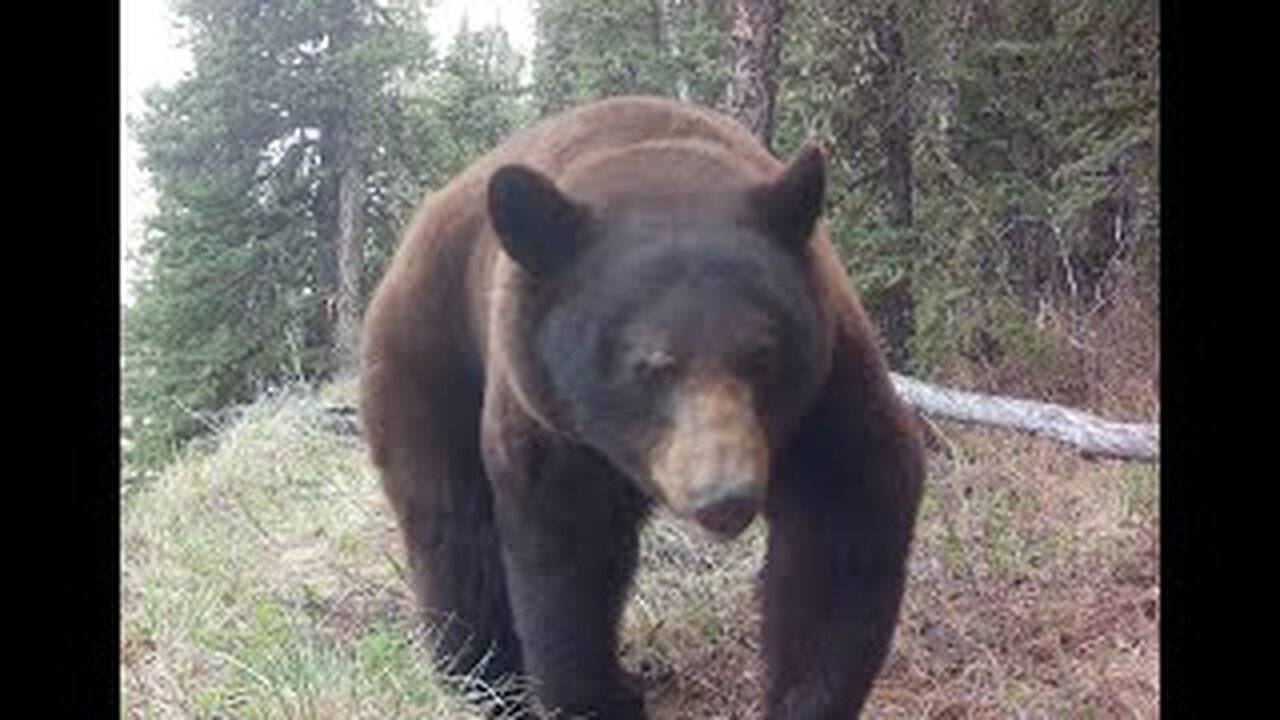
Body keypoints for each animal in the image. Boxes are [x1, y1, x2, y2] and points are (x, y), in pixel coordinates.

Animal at [358, 96, 921, 717]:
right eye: (650, 366)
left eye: (761, 356)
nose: (725, 497)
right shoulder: (551, 423)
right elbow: (564, 558)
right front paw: (591, 696)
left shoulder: (825, 378)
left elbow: (843, 522)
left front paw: (802, 697)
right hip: (425, 361)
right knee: (453, 528)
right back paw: (484, 678)